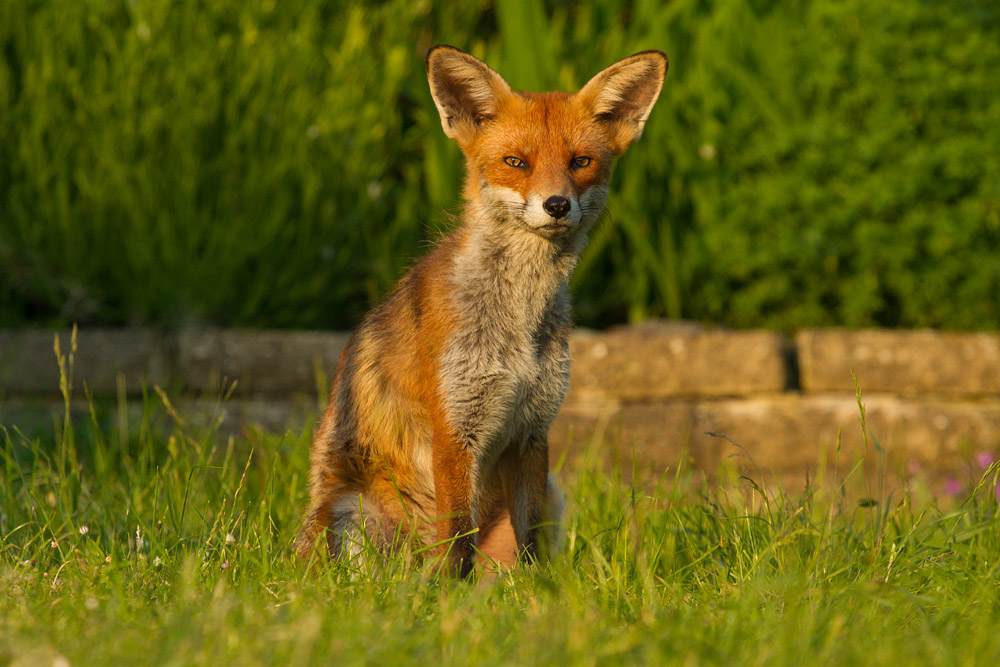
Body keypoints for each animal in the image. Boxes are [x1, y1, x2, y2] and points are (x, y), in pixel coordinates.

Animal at [297, 45, 667, 576]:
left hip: (554, 493)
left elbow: (529, 539)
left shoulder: (533, 431)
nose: (557, 205)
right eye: (515, 162)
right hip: (353, 517)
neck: (518, 318)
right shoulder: (455, 428)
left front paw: (537, 590)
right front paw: (451, 593)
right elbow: (456, 538)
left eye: (581, 162)